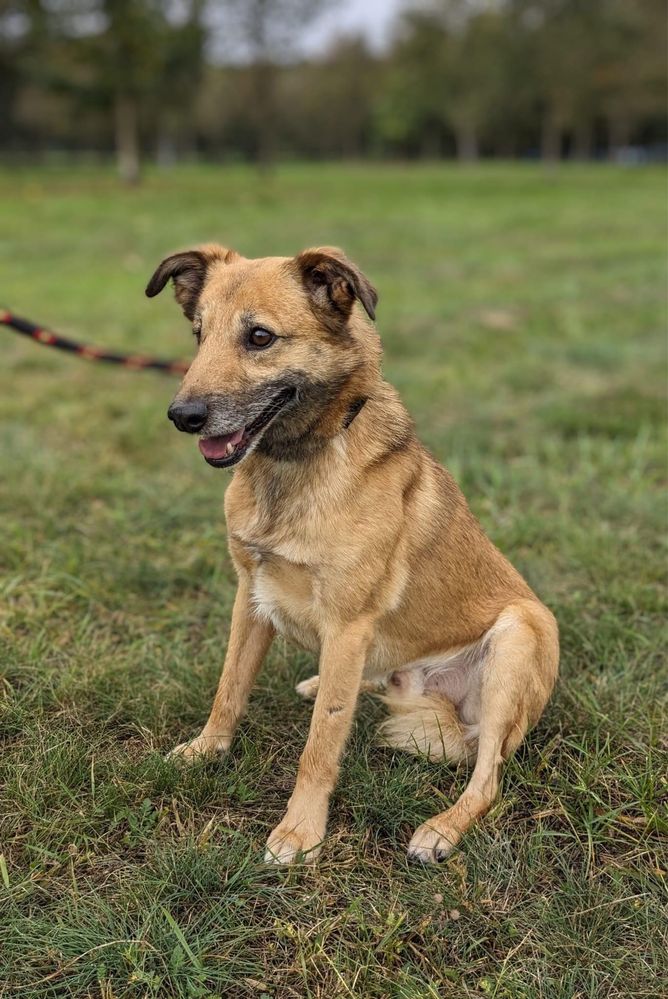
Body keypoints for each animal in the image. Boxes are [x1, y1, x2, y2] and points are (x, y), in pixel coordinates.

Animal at [146, 240, 560, 860]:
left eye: (259, 337)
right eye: (199, 334)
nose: (182, 417)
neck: (295, 462)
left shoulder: (347, 623)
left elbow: (320, 744)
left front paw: (300, 831)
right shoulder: (251, 596)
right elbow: (229, 689)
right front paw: (207, 750)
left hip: (521, 633)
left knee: (486, 778)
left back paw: (442, 828)